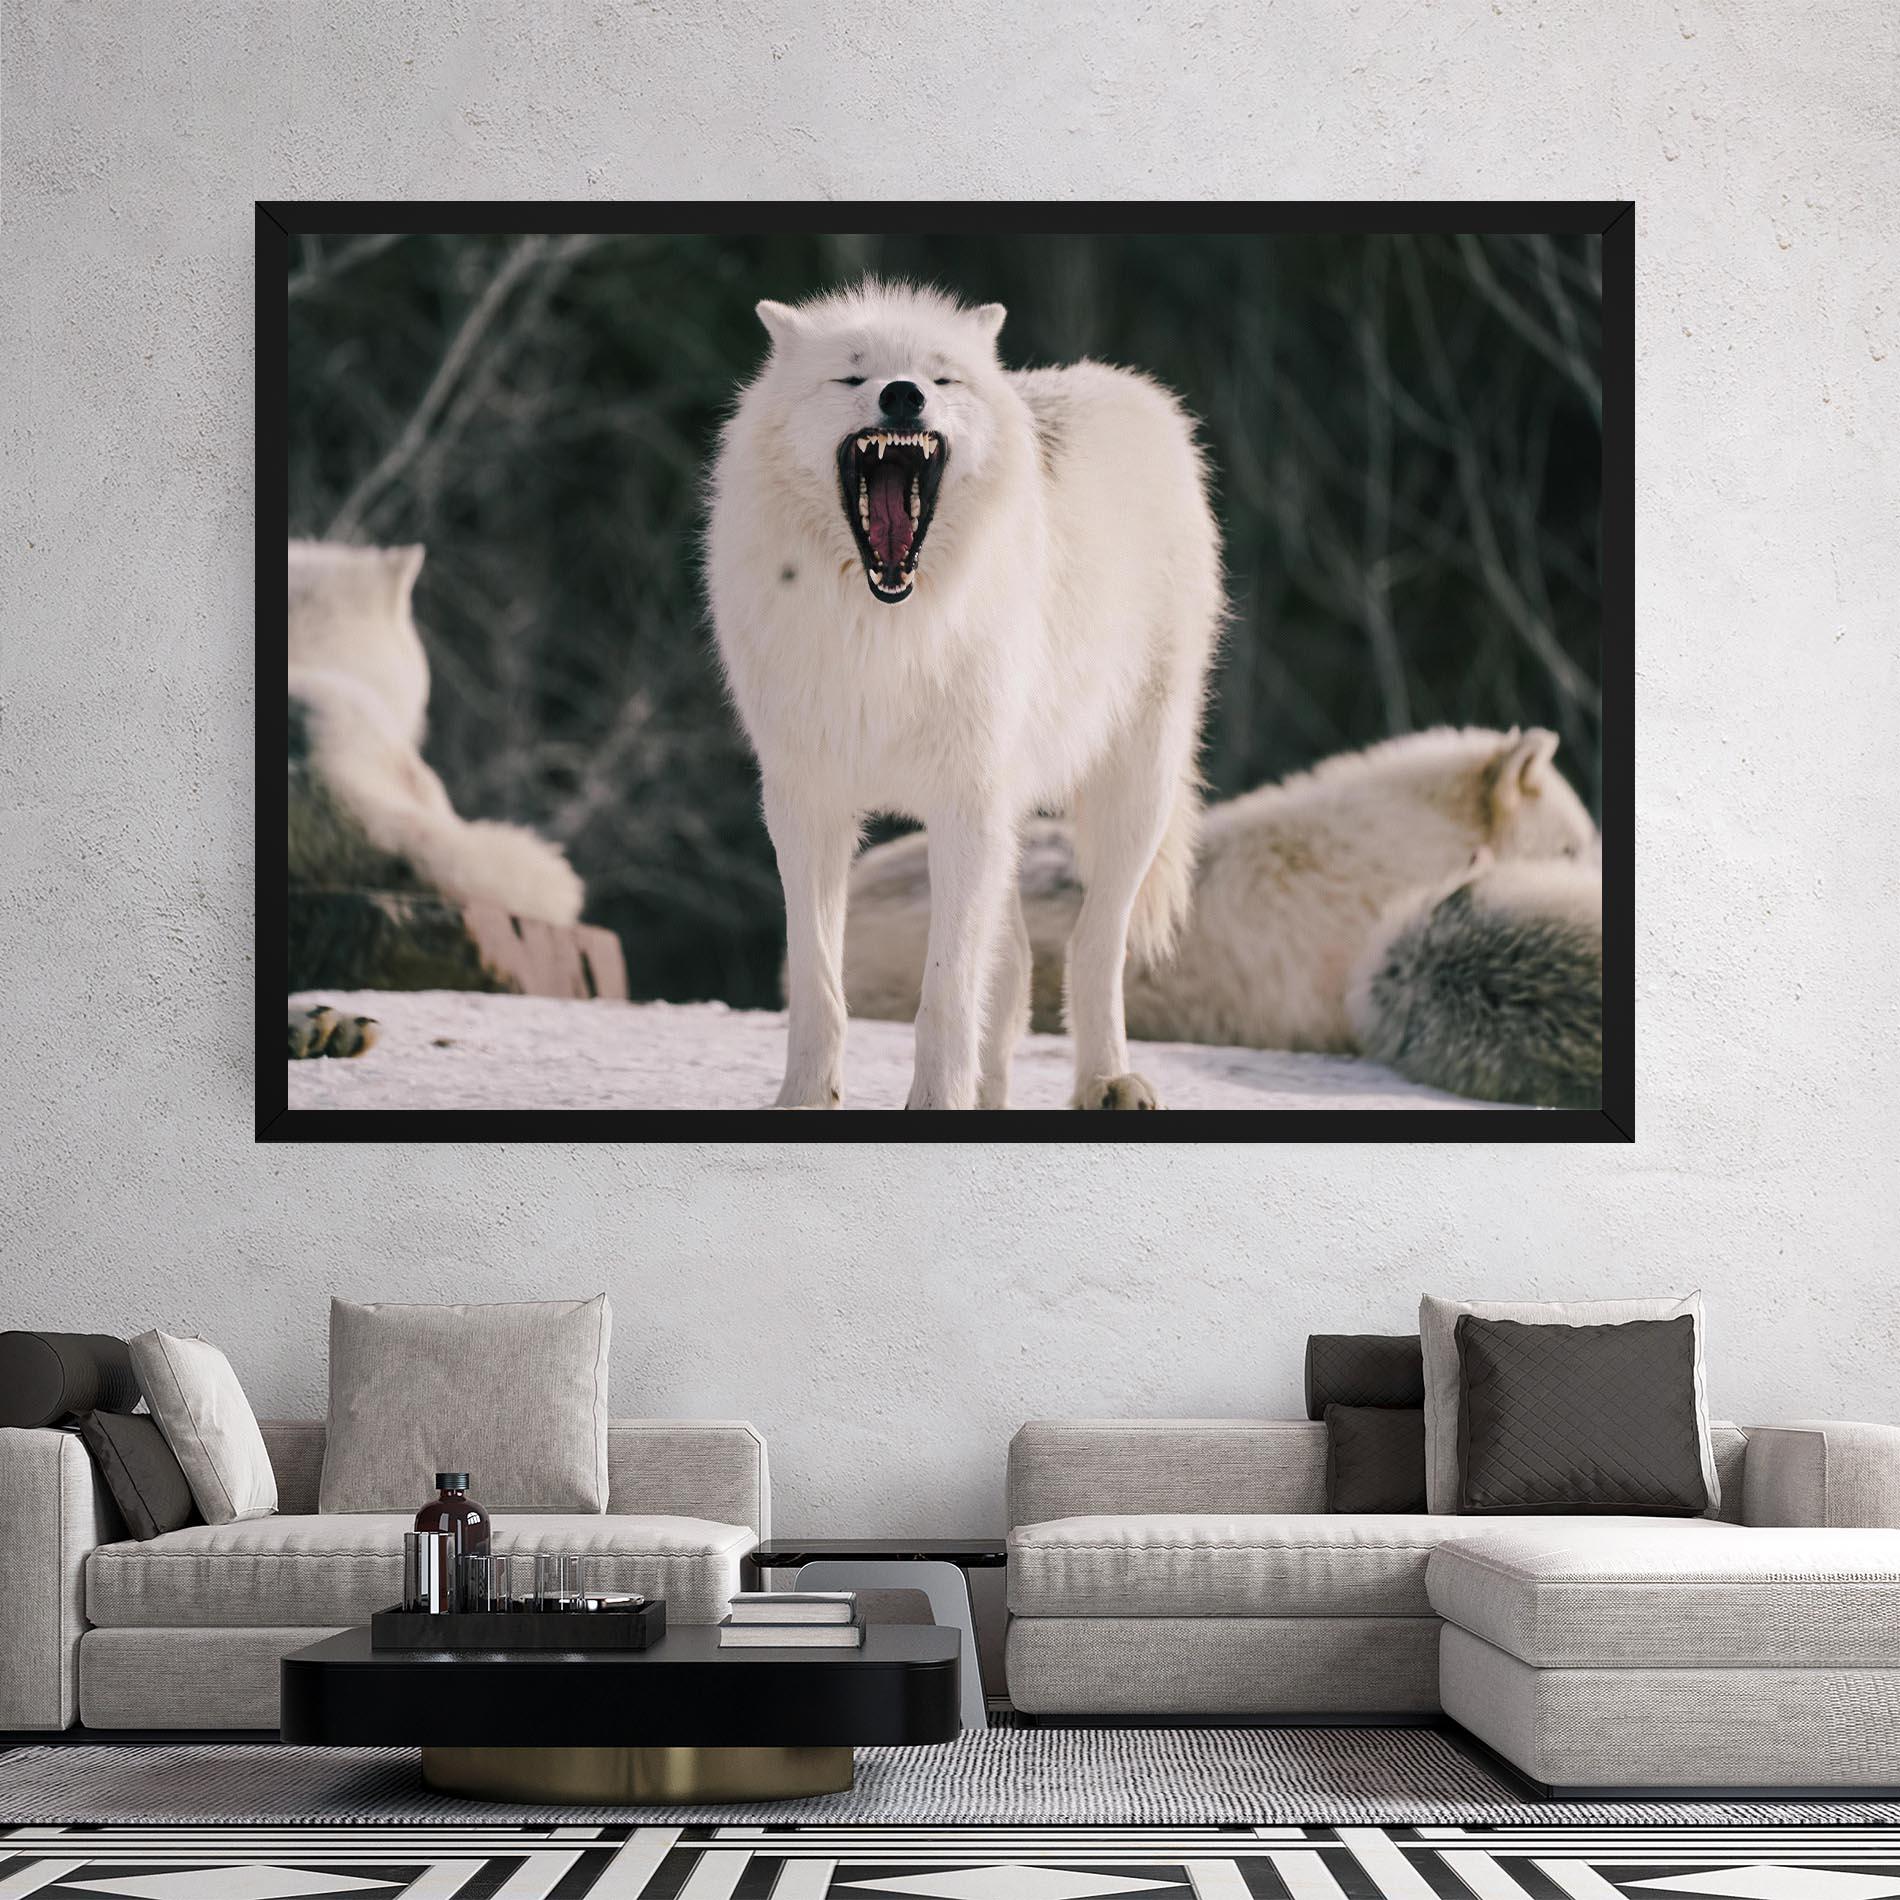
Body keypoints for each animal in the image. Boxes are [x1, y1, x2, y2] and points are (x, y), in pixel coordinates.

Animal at [707, 282, 1221, 1110]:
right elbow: (819, 983)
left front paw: (936, 1100)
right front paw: (805, 1099)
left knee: (1094, 944)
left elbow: (945, 992)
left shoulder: (964, 805)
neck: (885, 631)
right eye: (853, 376)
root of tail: (1131, 388)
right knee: (1013, 973)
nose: (903, 395)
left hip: (1132, 791)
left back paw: (1108, 1079)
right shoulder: (805, 805)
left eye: (941, 378)